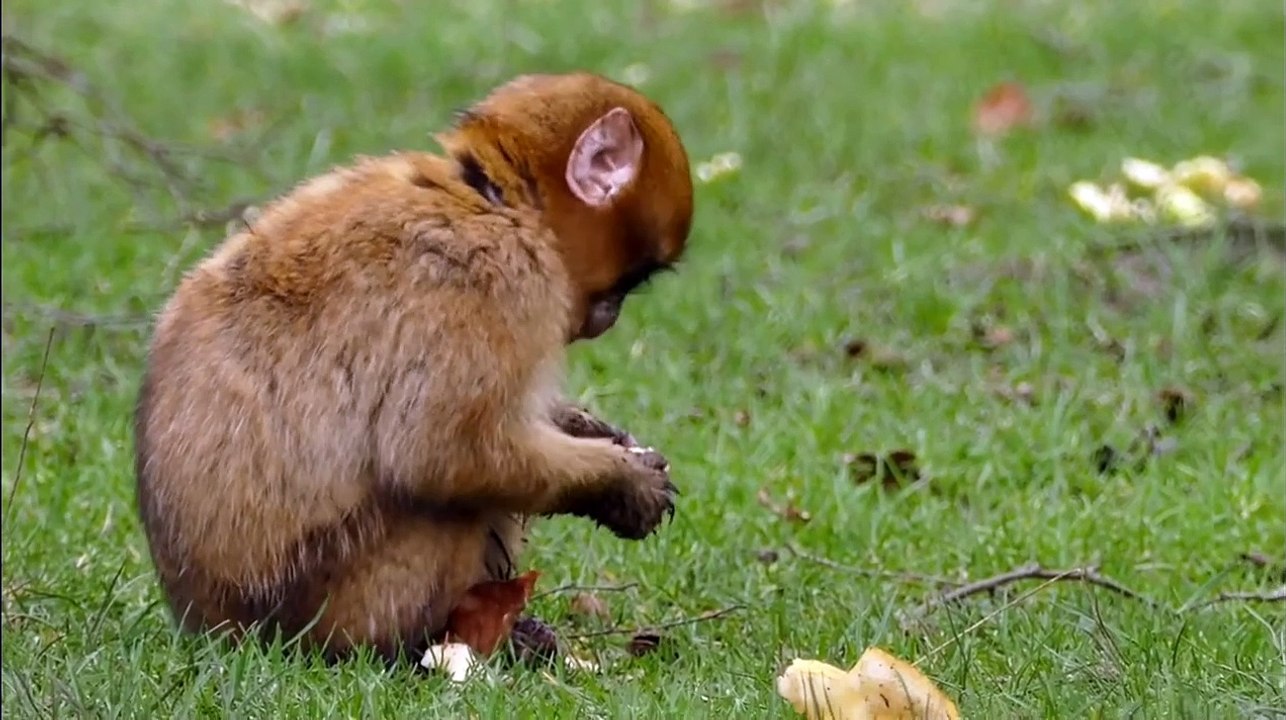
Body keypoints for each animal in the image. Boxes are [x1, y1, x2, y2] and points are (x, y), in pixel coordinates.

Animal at [133, 72, 695, 665]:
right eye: (634, 278)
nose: (611, 316)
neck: (493, 201)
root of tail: (211, 624)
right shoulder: (494, 279)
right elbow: (440, 454)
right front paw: (618, 482)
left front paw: (591, 430)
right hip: (336, 604)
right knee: (450, 503)